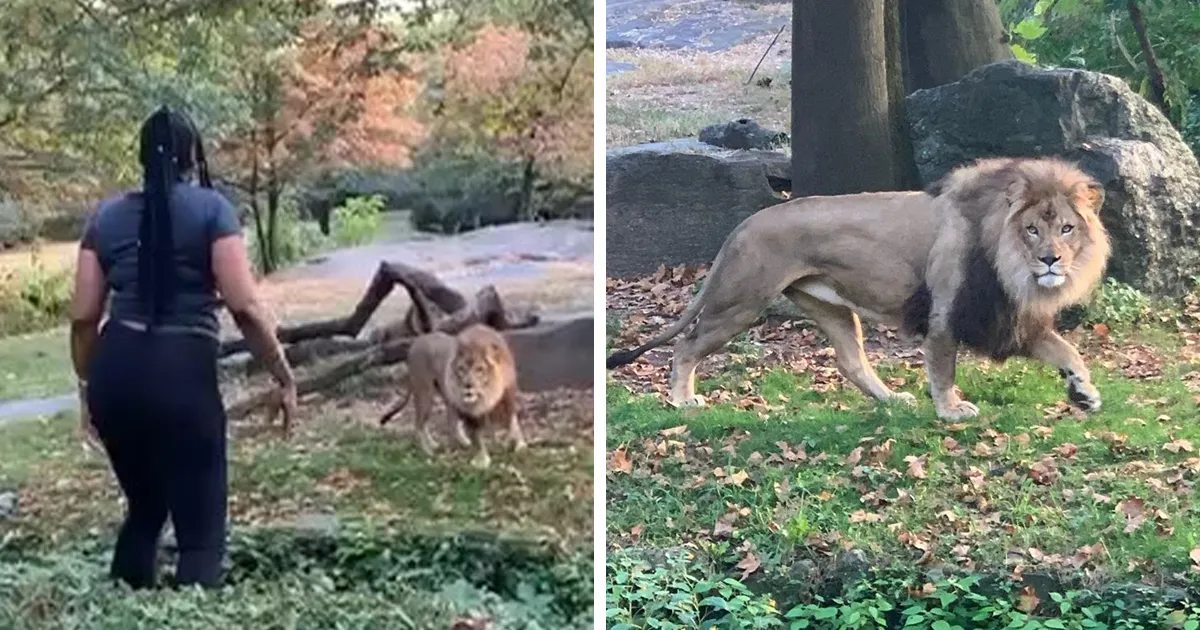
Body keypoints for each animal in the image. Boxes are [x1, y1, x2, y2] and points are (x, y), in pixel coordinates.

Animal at [379, 323, 525, 468]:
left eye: (479, 369)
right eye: (461, 369)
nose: (468, 385)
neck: (486, 394)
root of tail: (417, 341)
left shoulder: (508, 396)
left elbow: (513, 421)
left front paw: (518, 444)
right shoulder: (468, 410)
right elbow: (476, 437)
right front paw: (482, 460)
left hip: (446, 397)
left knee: (448, 422)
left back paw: (451, 443)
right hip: (425, 392)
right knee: (419, 424)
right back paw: (428, 450)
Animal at [606, 157, 1111, 420]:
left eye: (1067, 229)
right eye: (1032, 230)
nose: (1051, 260)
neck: (1009, 265)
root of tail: (743, 224)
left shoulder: (1010, 318)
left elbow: (1068, 351)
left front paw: (1083, 392)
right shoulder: (947, 313)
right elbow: (943, 369)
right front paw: (950, 411)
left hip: (831, 309)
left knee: (851, 363)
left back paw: (892, 399)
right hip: (740, 301)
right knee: (686, 346)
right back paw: (682, 400)